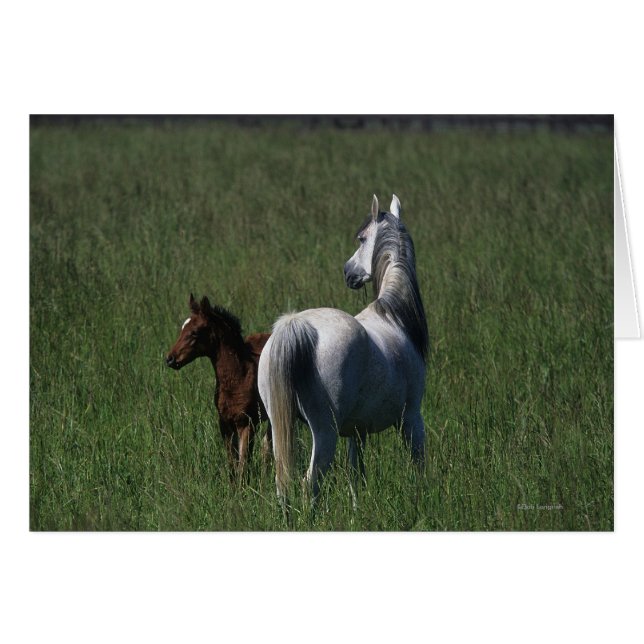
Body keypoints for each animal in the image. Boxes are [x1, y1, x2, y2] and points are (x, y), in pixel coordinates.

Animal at [166, 294, 271, 478]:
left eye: (194, 332)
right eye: (182, 328)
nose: (170, 359)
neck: (238, 378)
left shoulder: (247, 424)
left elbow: (243, 466)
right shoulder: (225, 425)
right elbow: (232, 466)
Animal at [258, 194, 429, 502]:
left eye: (361, 239)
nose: (348, 272)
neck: (393, 315)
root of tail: (296, 325)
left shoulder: (356, 432)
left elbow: (355, 478)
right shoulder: (412, 419)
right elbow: (418, 466)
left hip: (280, 426)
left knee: (283, 485)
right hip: (325, 432)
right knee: (309, 484)